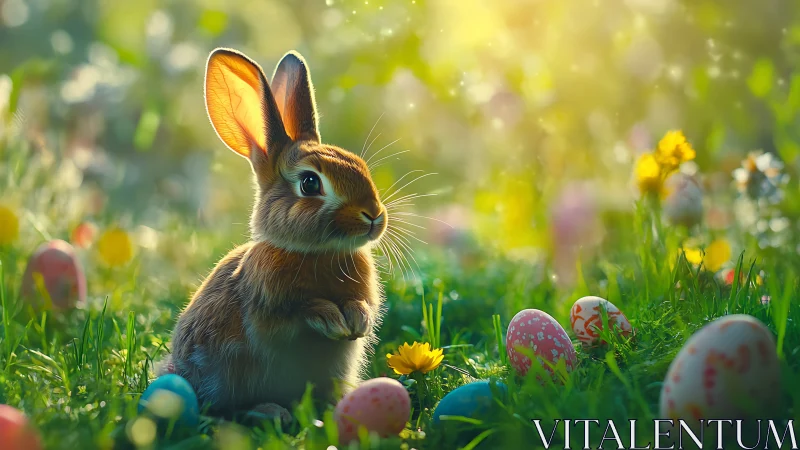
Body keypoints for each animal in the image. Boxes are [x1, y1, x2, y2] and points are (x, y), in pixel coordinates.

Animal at [156, 48, 388, 424]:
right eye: (309, 183)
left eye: (361, 167)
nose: (374, 216)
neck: (316, 252)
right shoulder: (269, 310)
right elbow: (298, 313)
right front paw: (332, 319)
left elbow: (362, 304)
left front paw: (357, 322)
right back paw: (269, 412)